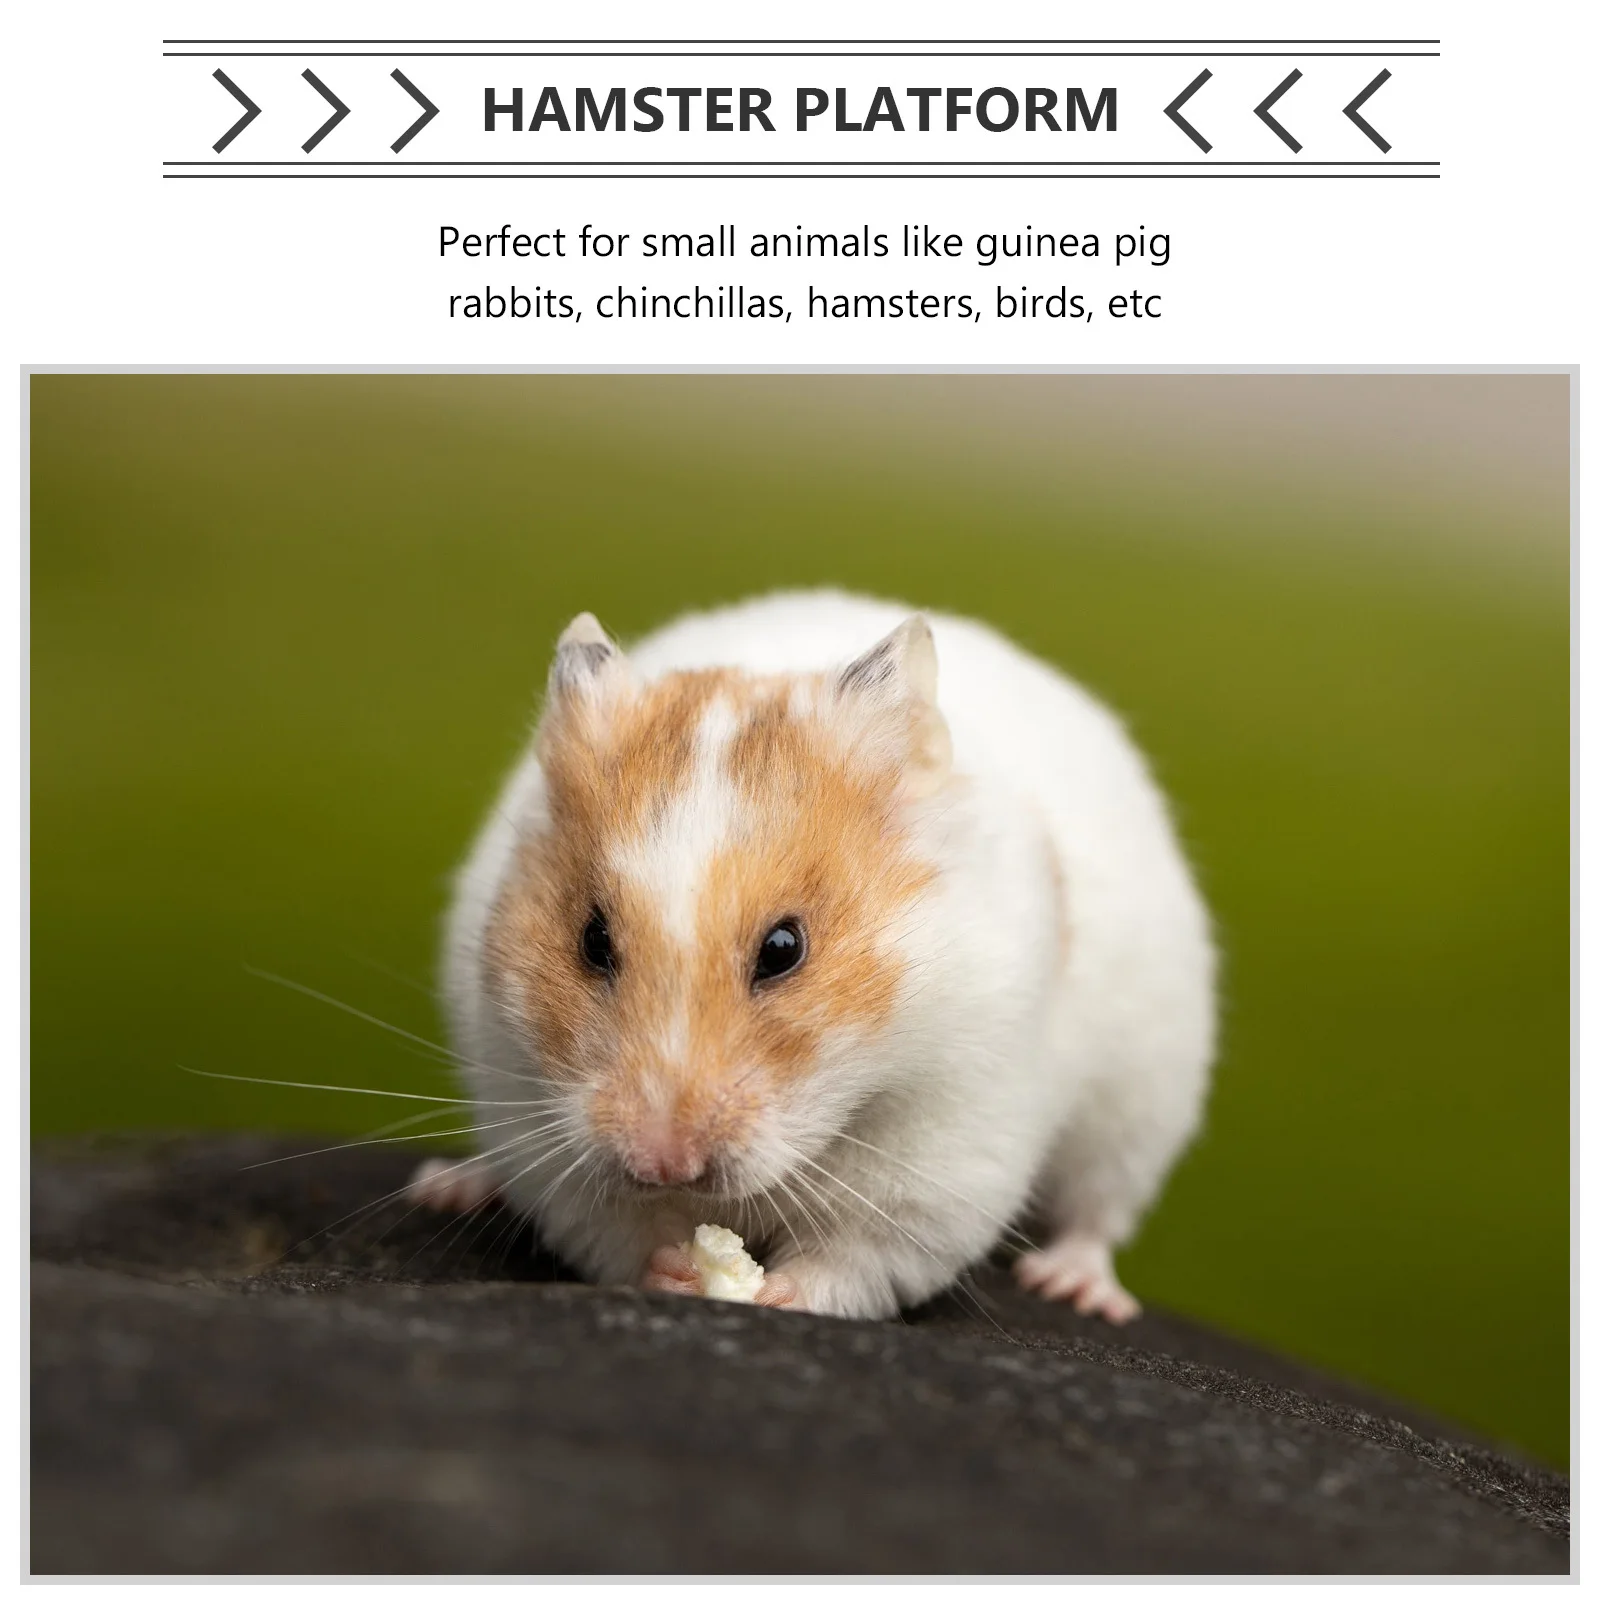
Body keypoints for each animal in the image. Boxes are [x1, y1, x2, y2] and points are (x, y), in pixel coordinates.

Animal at [416, 590, 1216, 1323]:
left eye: (783, 949)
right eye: (592, 940)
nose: (664, 1164)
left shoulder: (943, 1156)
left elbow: (855, 1257)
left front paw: (771, 1293)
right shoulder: (539, 1123)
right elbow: (614, 1231)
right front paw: (678, 1269)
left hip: (1142, 1104)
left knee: (1097, 1212)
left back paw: (1076, 1288)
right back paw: (449, 1186)